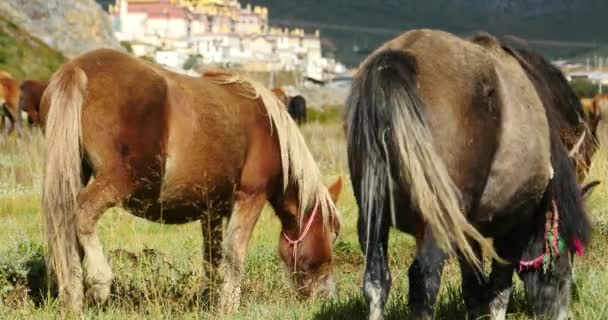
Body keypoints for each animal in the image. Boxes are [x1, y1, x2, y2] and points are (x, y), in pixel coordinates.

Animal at [39, 48, 342, 314]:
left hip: (76, 173)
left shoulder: (212, 210)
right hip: (119, 181)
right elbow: (235, 257)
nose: (326, 295)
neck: (269, 129)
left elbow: (213, 260)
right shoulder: (250, 197)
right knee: (83, 214)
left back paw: (73, 298)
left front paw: (210, 301)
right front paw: (228, 307)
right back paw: (100, 281)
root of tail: (77, 69)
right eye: (330, 233)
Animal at [346, 29, 592, 320]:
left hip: (373, 218)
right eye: (567, 248)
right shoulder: (516, 219)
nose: (561, 313)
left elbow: (473, 288)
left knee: (376, 280)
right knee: (424, 281)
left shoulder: (468, 228)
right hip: (436, 222)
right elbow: (499, 288)